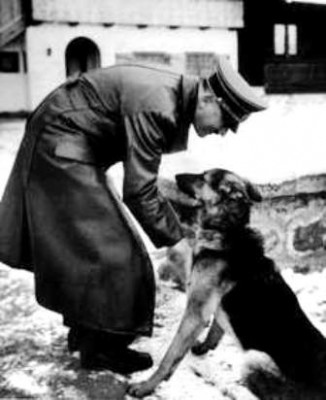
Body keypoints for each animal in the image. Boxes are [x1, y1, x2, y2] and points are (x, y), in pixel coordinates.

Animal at [127, 168, 326, 396]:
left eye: (204, 177)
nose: (176, 176)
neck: (228, 230)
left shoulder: (195, 313)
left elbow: (171, 355)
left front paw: (147, 385)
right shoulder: (212, 307)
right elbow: (215, 328)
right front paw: (204, 347)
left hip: (254, 358)